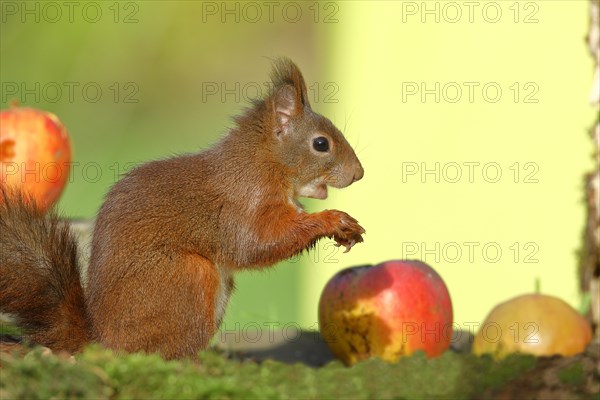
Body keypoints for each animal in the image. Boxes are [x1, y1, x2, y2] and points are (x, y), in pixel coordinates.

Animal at [0, 58, 364, 360]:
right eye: (321, 144)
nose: (358, 173)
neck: (264, 162)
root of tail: (101, 341)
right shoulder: (244, 202)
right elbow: (255, 246)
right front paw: (333, 221)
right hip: (187, 278)